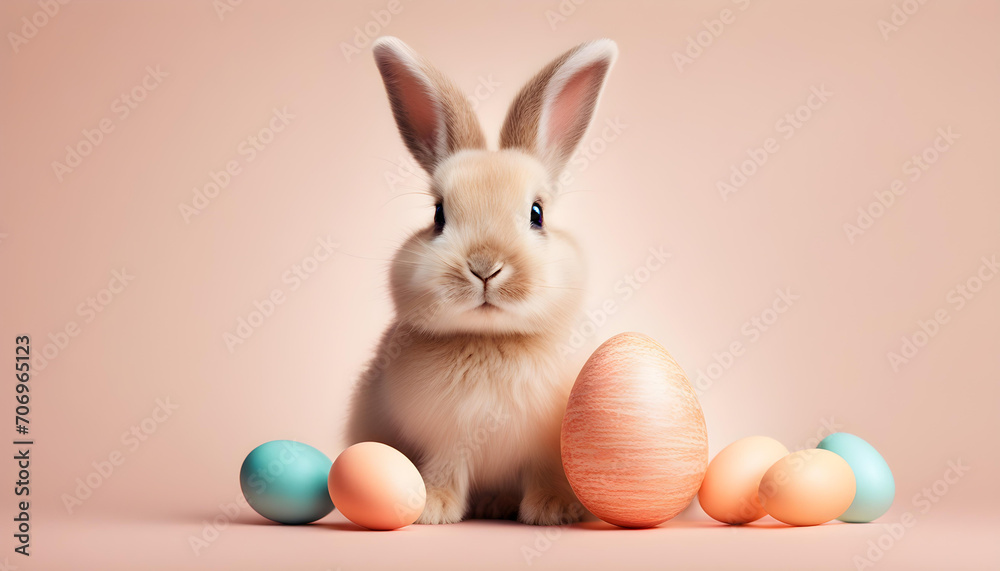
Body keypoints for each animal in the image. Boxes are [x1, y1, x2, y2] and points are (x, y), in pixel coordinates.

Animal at [346, 36, 617, 525]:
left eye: (537, 214)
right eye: (438, 215)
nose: (485, 266)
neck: (492, 339)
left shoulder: (546, 448)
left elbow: (545, 473)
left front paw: (555, 509)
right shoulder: (444, 440)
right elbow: (445, 470)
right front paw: (431, 507)